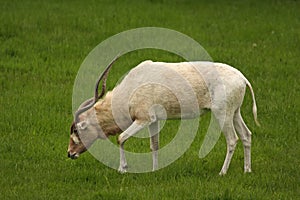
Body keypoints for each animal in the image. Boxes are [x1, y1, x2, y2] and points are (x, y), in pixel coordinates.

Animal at [67, 56, 258, 175]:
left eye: (77, 131)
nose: (70, 153)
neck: (130, 89)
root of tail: (242, 78)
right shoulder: (154, 121)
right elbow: (155, 145)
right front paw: (154, 170)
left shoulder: (144, 119)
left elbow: (121, 138)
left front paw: (123, 169)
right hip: (235, 112)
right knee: (246, 135)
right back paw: (247, 170)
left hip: (222, 113)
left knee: (232, 139)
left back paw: (222, 172)